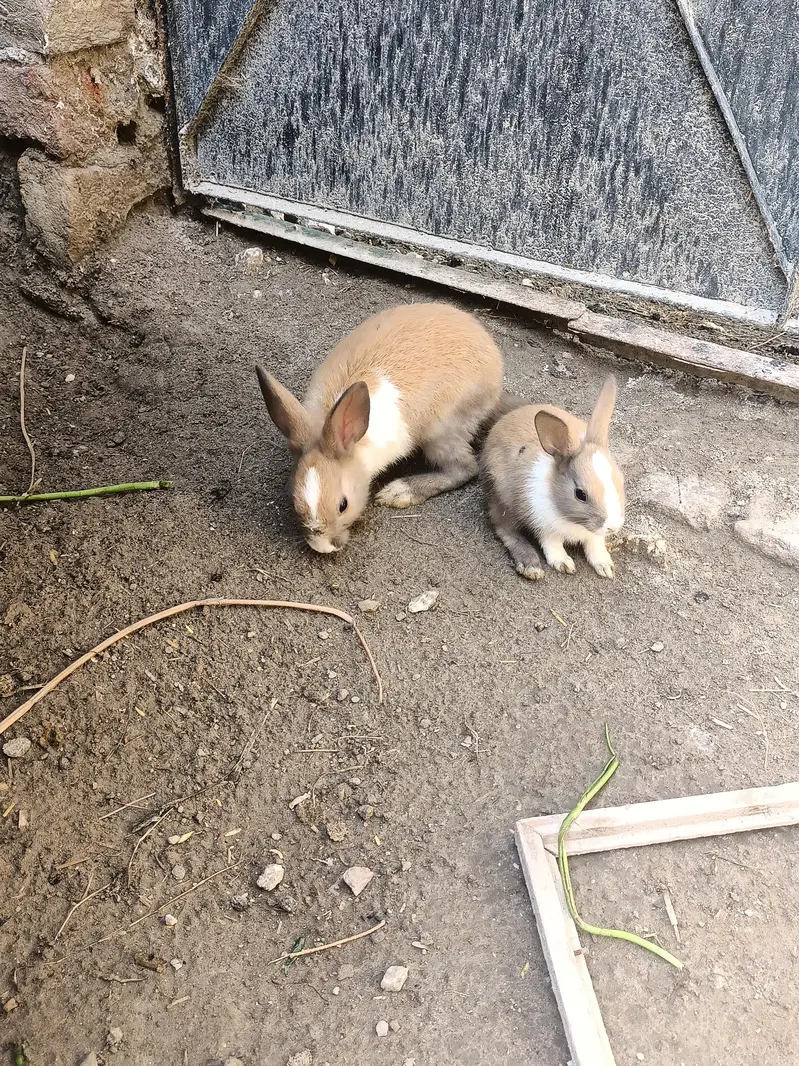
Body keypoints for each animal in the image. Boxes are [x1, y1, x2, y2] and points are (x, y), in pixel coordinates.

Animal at [256, 302, 504, 554]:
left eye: (343, 505)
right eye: (294, 501)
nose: (323, 548)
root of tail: (493, 356)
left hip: (441, 433)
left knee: (464, 468)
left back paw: (399, 491)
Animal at [481, 376, 625, 579]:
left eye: (620, 481)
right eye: (580, 494)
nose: (613, 527)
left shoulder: (593, 536)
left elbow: (595, 546)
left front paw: (605, 567)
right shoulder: (542, 524)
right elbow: (552, 543)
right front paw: (563, 563)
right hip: (502, 500)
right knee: (505, 529)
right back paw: (531, 566)